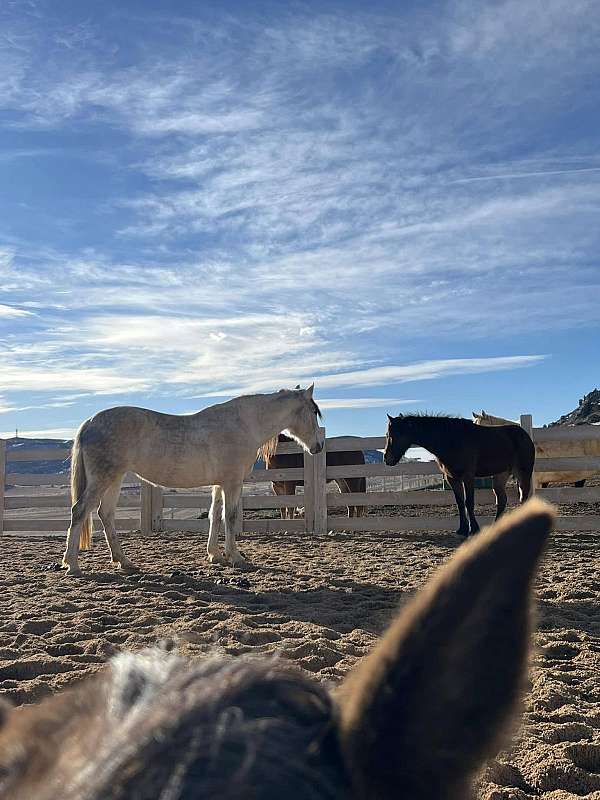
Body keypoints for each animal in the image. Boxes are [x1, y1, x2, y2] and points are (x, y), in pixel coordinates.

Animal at [62, 387, 324, 577]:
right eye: (314, 412)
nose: (319, 447)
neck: (243, 424)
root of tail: (89, 422)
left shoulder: (219, 484)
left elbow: (215, 516)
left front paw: (215, 555)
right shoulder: (232, 483)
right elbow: (230, 517)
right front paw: (236, 557)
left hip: (114, 479)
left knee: (105, 514)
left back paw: (124, 561)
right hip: (103, 479)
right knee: (80, 511)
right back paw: (72, 564)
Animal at [384, 413, 535, 537]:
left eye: (393, 435)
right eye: (387, 435)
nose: (387, 459)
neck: (452, 440)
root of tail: (523, 433)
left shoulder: (467, 477)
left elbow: (469, 502)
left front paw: (474, 529)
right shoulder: (452, 478)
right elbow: (460, 503)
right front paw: (462, 530)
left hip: (523, 473)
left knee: (524, 497)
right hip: (500, 476)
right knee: (502, 500)